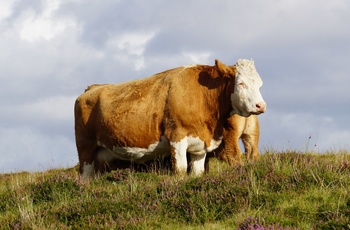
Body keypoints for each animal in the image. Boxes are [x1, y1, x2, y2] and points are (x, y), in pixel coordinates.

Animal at [74, 58, 266, 178]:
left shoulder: (200, 146)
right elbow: (180, 170)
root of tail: (93, 88)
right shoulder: (177, 137)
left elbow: (197, 173)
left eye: (260, 84)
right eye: (241, 83)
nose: (260, 105)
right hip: (85, 150)